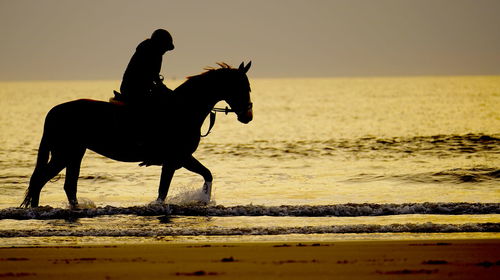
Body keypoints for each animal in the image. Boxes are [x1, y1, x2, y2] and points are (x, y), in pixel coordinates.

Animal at [21, 61, 252, 208]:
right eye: (243, 87)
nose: (248, 116)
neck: (183, 109)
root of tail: (54, 111)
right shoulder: (175, 159)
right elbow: (163, 191)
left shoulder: (182, 158)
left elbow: (207, 174)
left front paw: (204, 200)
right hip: (64, 154)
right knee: (40, 180)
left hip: (75, 154)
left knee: (67, 185)